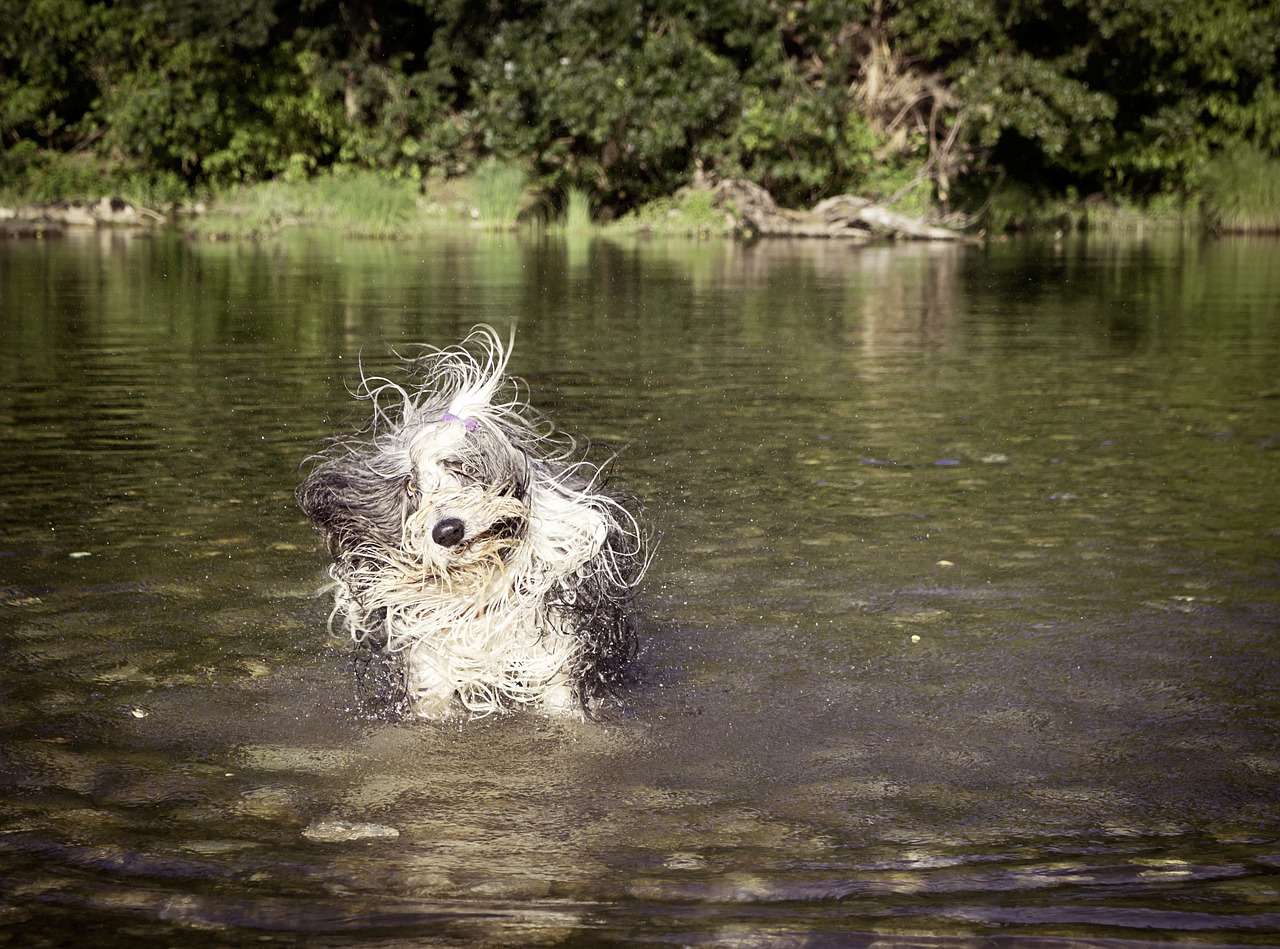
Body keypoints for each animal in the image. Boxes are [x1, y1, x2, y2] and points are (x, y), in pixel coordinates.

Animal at [298, 325, 650, 717]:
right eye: (410, 486)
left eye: (464, 468)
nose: (448, 531)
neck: (482, 580)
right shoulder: (431, 667)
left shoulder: (553, 658)